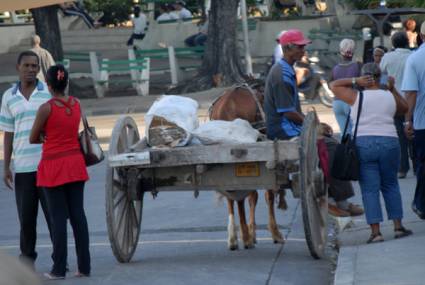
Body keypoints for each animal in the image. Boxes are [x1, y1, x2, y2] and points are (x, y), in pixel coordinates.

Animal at [209, 82, 284, 248]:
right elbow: (266, 195)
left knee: (231, 196)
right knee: (239, 196)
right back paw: (245, 237)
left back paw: (233, 237)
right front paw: (273, 232)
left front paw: (253, 232)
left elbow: (253, 196)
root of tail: (226, 105)